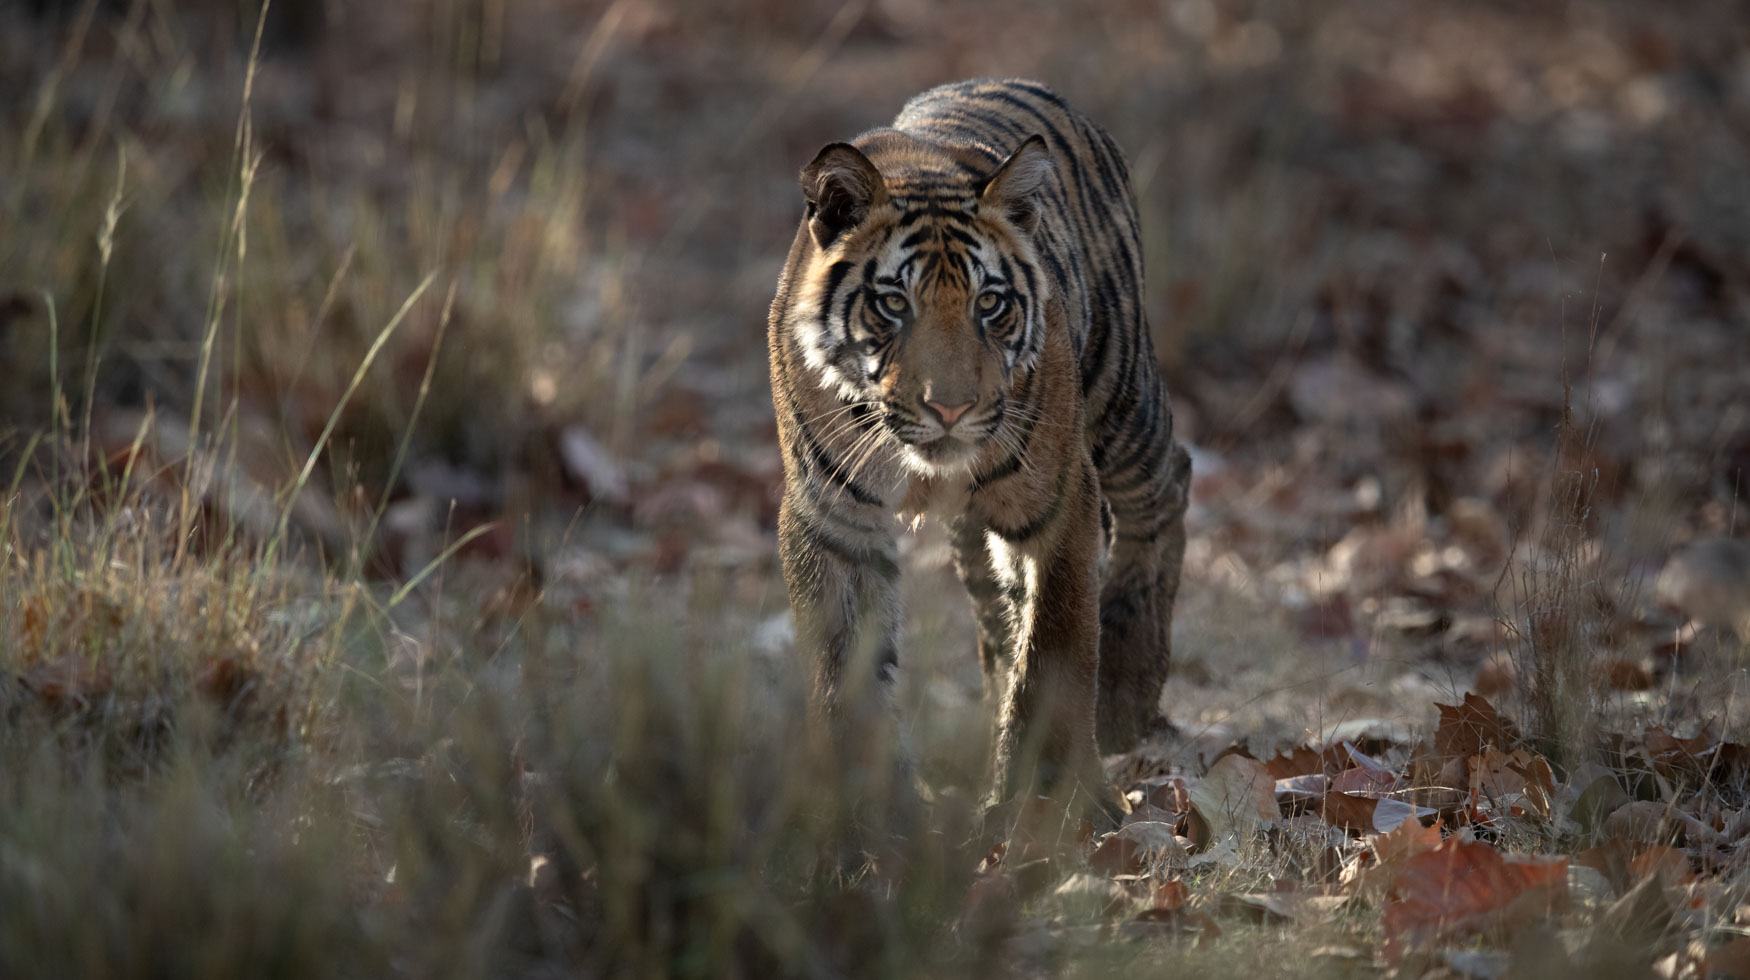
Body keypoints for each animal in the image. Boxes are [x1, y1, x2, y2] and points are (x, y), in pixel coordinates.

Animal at [773, 76, 1197, 815]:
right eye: (893, 305)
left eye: (990, 303)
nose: (951, 407)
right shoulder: (834, 521)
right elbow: (846, 668)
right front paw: (865, 807)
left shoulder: (1058, 495)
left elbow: (1056, 641)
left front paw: (1057, 803)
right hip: (977, 532)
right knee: (999, 608)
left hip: (1120, 392)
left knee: (1169, 479)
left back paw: (1125, 688)